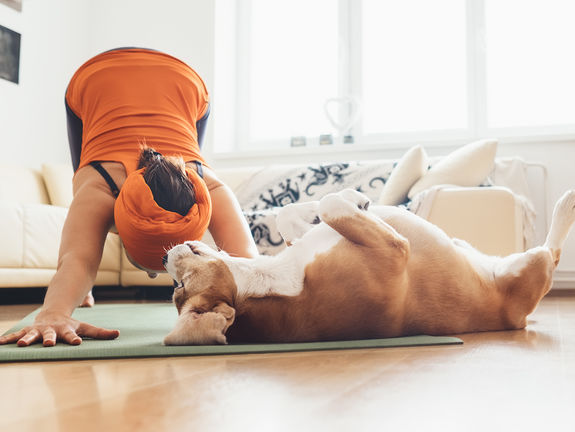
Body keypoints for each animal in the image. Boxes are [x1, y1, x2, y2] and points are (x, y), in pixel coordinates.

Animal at [162, 188, 575, 344]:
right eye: (178, 289)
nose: (164, 258)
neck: (274, 281)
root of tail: (519, 320)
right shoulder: (395, 250)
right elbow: (330, 203)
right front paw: (352, 195)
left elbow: (289, 213)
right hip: (532, 266)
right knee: (551, 253)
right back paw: (566, 204)